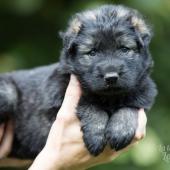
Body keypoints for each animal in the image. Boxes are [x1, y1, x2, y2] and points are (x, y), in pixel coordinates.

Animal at [0, 5, 157, 159]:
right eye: (92, 52)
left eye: (124, 49)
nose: (111, 77)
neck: (109, 98)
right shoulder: (60, 95)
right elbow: (89, 105)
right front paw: (95, 136)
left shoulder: (144, 92)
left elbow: (130, 106)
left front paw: (120, 130)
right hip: (8, 93)